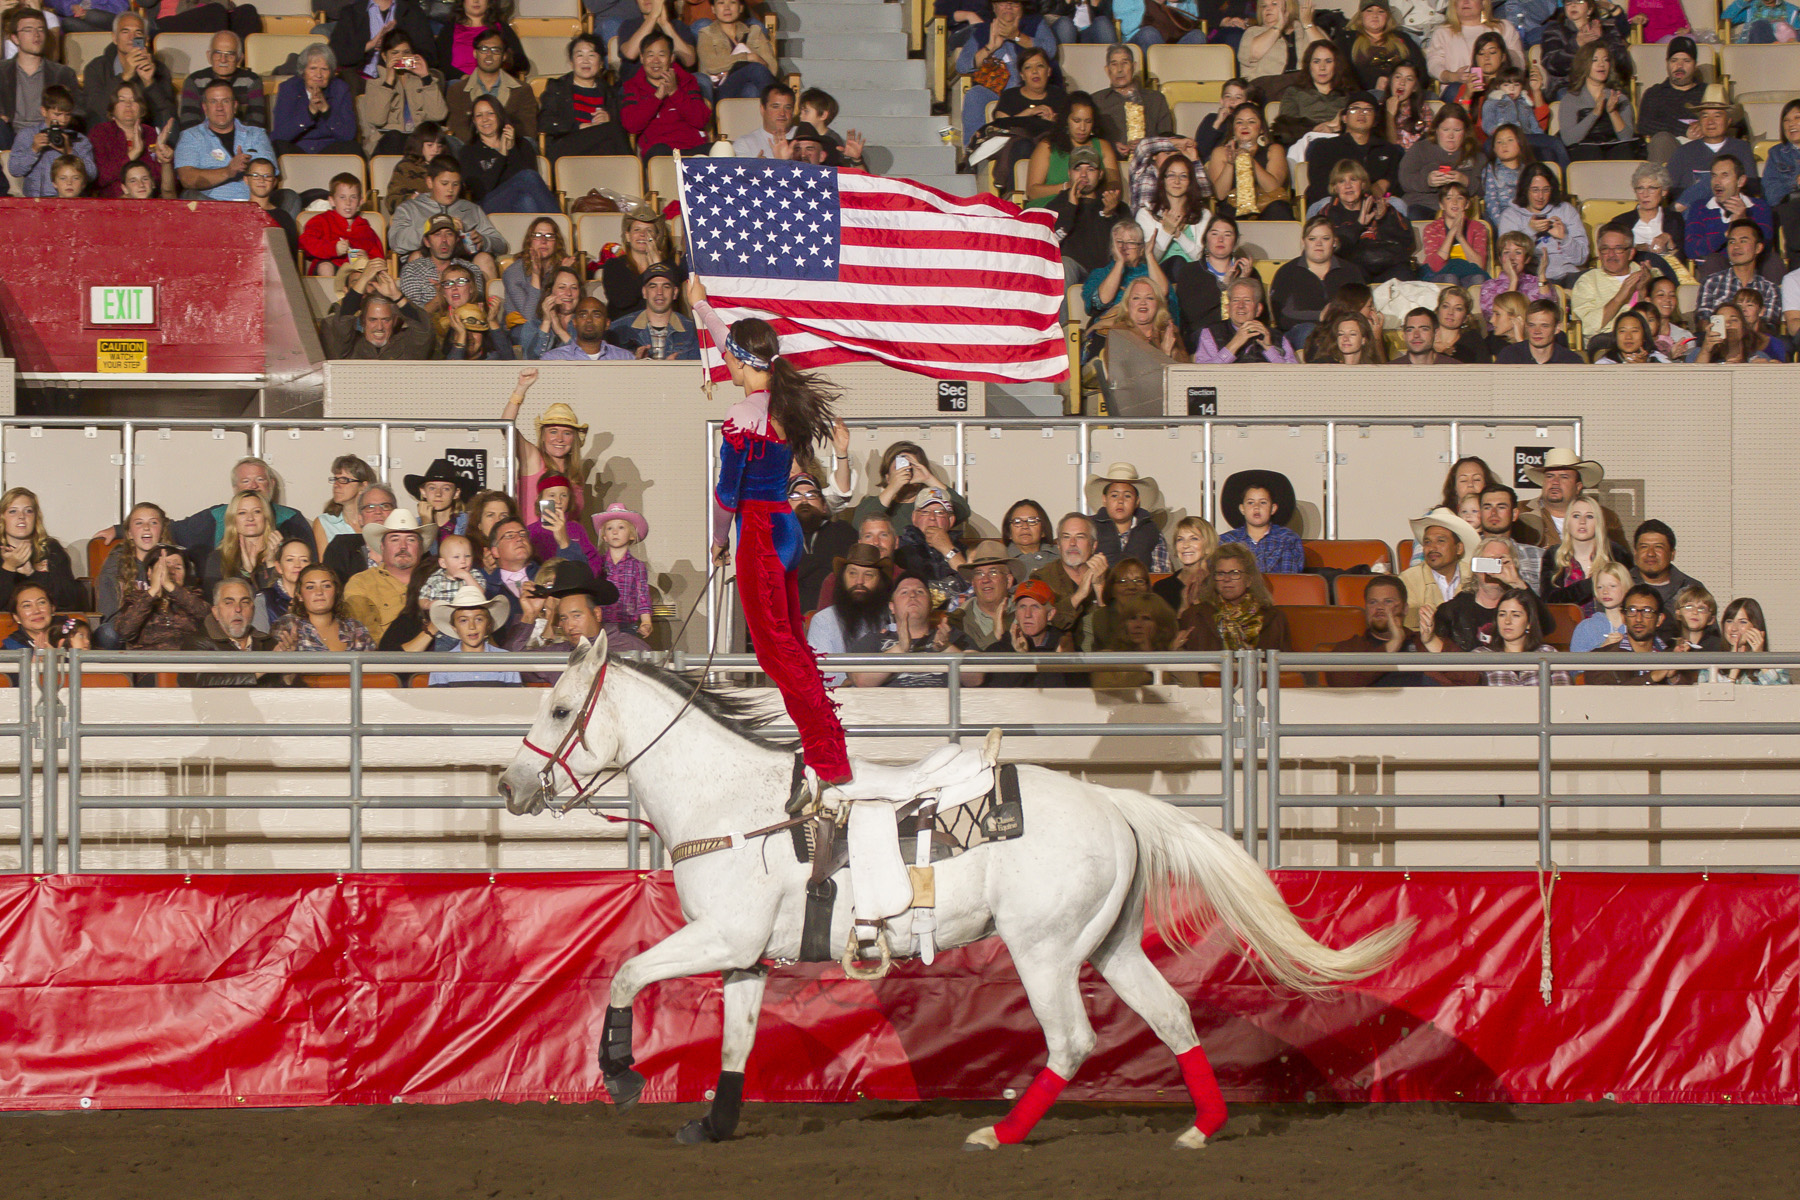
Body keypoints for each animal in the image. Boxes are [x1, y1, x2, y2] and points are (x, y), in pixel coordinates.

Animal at [500, 644, 1411, 1151]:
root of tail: (1113, 804)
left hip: (1044, 951)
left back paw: (999, 1135)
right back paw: (1200, 1129)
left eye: (559, 707)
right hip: (1109, 945)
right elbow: (735, 1044)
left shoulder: (721, 938)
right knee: (1174, 1017)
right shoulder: (747, 956)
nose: (510, 785)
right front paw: (712, 1125)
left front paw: (621, 1077)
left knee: (1073, 1040)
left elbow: (624, 973)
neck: (733, 805)